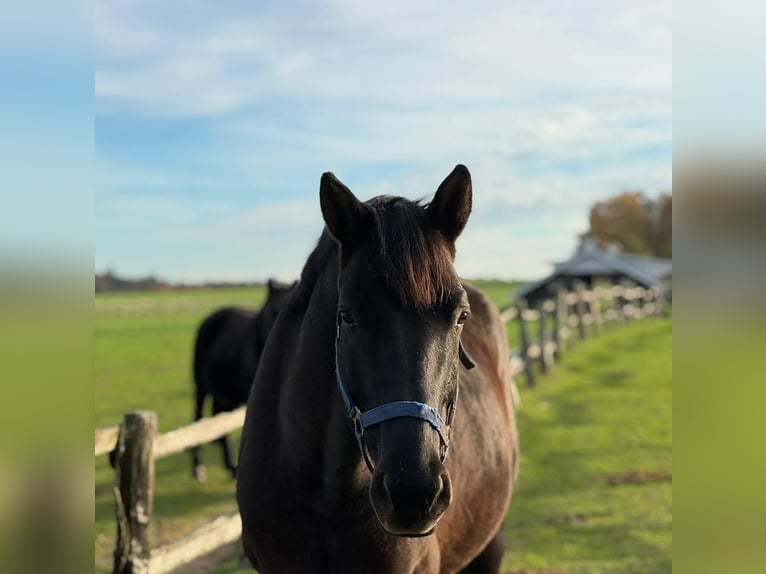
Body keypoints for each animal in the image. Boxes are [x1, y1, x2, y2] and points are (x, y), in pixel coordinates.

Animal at [190, 279, 295, 481]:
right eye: (273, 311)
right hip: (201, 387)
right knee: (198, 418)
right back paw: (198, 467)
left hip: (225, 394)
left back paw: (229, 465)